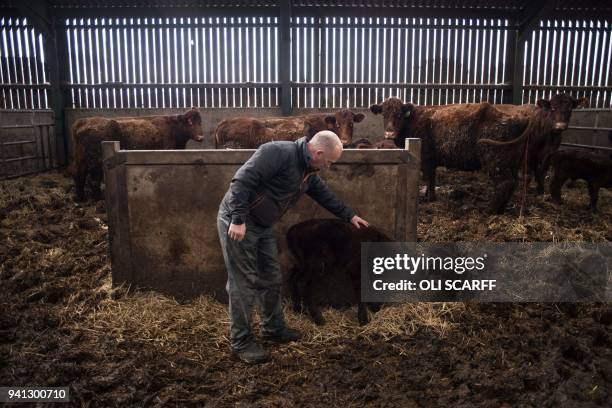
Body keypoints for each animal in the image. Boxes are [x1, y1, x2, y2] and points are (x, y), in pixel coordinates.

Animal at [69, 108, 203, 201]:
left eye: (200, 122)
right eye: (189, 122)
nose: (201, 137)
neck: (173, 128)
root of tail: (84, 121)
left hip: (81, 157)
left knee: (79, 174)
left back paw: (81, 198)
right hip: (95, 161)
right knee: (94, 179)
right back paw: (98, 199)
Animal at [368, 98, 532, 212]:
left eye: (399, 114)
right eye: (384, 114)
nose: (389, 133)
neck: (413, 120)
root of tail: (520, 118)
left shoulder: (426, 158)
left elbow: (428, 178)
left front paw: (429, 198)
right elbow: (431, 179)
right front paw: (429, 195)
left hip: (495, 159)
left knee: (504, 183)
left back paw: (490, 209)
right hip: (511, 162)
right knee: (512, 183)